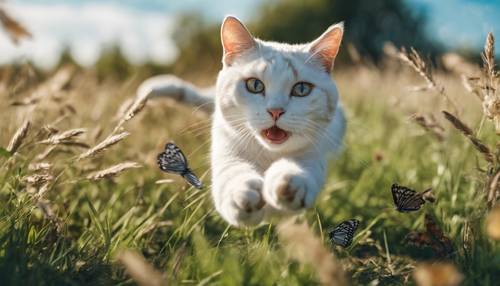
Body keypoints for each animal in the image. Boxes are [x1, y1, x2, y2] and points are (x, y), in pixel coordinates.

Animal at [139, 15, 346, 227]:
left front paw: (289, 183)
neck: (267, 154)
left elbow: (300, 167)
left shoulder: (314, 154)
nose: (275, 111)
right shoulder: (227, 150)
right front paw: (243, 194)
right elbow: (233, 173)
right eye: (255, 85)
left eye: (302, 89)